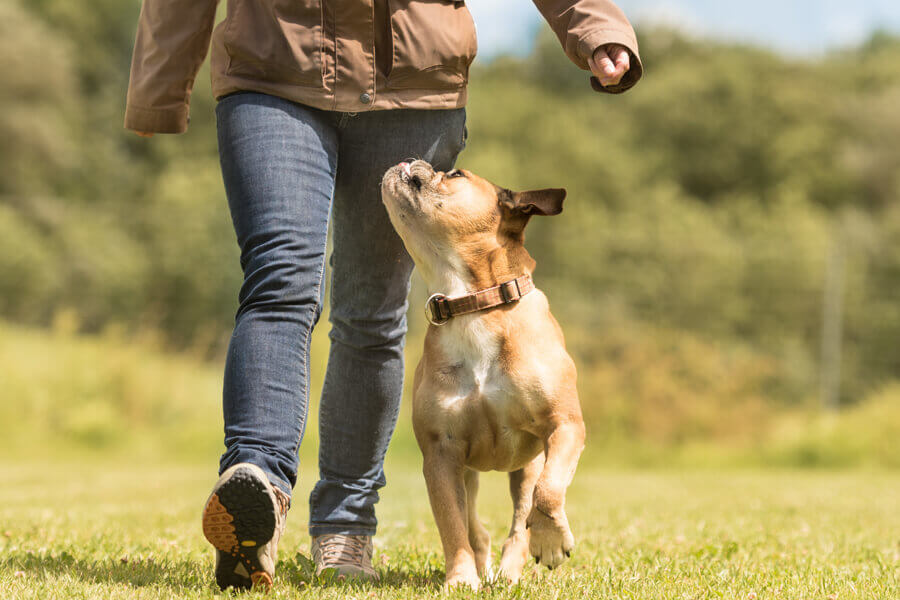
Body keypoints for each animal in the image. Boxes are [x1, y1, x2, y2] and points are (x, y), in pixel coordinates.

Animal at [378, 161, 584, 592]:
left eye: (455, 174)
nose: (409, 161)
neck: (471, 304)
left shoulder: (565, 425)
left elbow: (549, 491)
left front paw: (551, 542)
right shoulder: (440, 454)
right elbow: (452, 526)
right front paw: (460, 579)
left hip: (528, 464)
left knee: (523, 514)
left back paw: (512, 571)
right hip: (465, 472)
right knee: (475, 525)